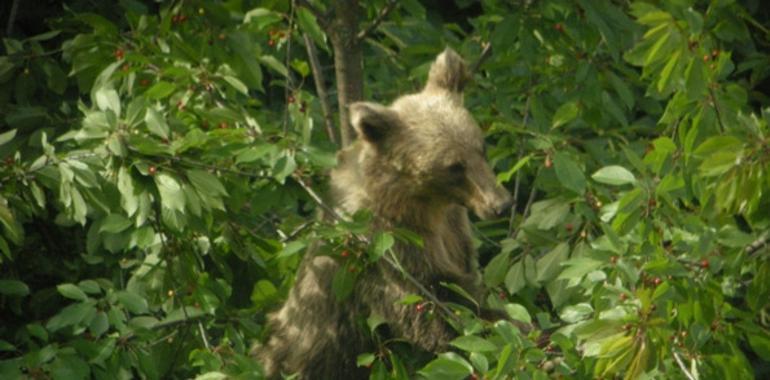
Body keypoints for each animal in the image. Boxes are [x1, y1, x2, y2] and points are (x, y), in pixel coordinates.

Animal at [255, 49, 512, 378]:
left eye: (481, 148)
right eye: (454, 166)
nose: (501, 204)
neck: (423, 203)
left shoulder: (454, 229)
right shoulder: (387, 245)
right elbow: (434, 305)